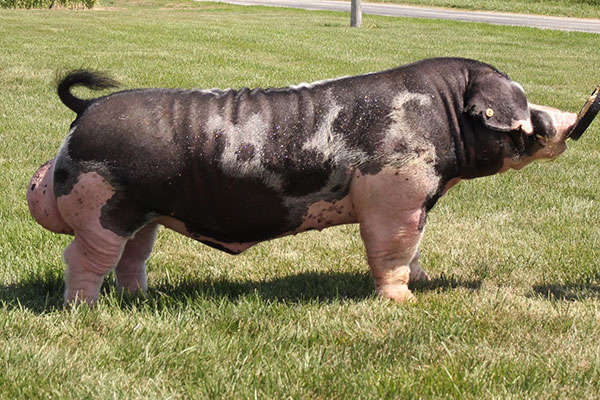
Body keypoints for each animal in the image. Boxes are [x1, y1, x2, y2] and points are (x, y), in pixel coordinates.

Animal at [27, 57, 577, 305]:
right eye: (524, 108)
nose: (565, 120)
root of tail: (85, 109)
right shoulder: (393, 193)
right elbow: (391, 250)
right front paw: (404, 302)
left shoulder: (414, 201)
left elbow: (415, 248)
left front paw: (421, 282)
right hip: (103, 208)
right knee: (81, 257)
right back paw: (85, 309)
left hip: (143, 213)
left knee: (133, 255)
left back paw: (139, 297)